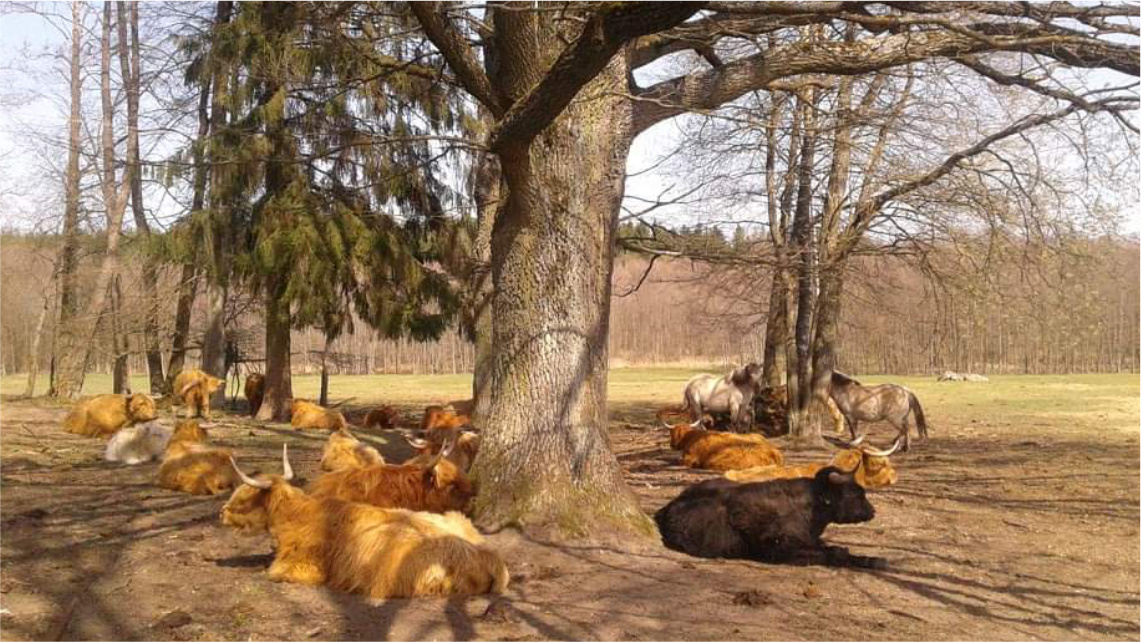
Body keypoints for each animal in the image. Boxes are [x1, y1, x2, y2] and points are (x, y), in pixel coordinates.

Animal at [222, 447, 508, 602]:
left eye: (244, 497)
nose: (221, 512)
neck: (297, 513)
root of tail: (490, 556)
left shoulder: (301, 567)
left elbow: (271, 572)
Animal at [657, 469, 885, 570]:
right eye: (854, 494)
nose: (873, 511)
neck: (811, 505)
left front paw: (874, 560)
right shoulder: (779, 547)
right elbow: (834, 552)